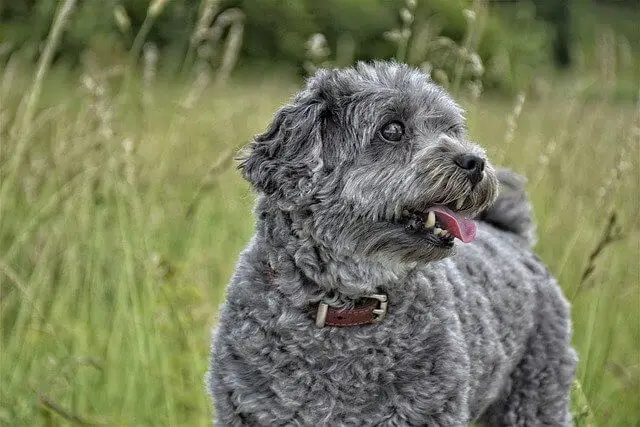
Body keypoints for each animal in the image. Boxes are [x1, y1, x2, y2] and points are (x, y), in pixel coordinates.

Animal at [208, 62, 576, 427]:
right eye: (392, 129)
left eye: (451, 130)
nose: (476, 162)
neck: (346, 307)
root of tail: (512, 236)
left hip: (536, 397)